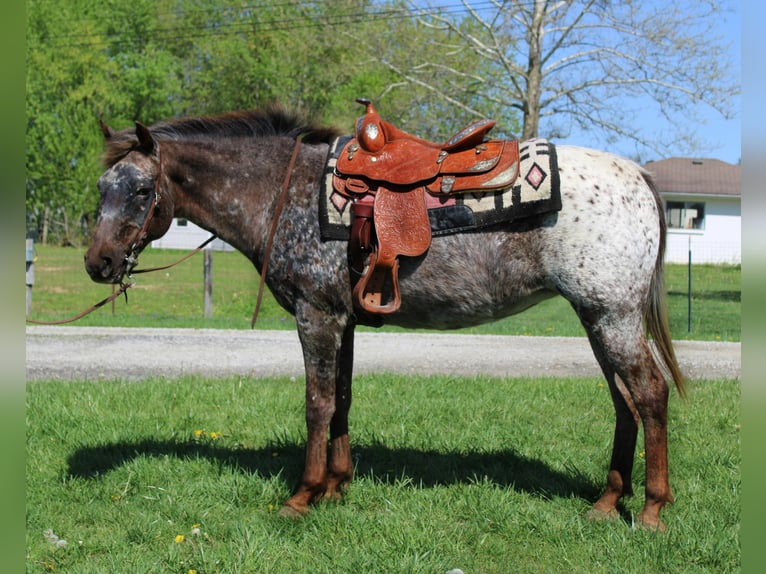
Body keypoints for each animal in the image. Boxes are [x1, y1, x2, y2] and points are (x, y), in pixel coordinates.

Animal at [85, 106, 688, 532]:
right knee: (625, 402)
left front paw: (302, 496)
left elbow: (317, 404)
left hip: (612, 315)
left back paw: (652, 511)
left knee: (649, 394)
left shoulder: (316, 315)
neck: (282, 192)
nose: (98, 263)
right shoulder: (344, 319)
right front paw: (337, 487)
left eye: (142, 190)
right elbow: (342, 399)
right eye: (101, 189)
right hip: (597, 318)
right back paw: (607, 503)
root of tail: (639, 175)